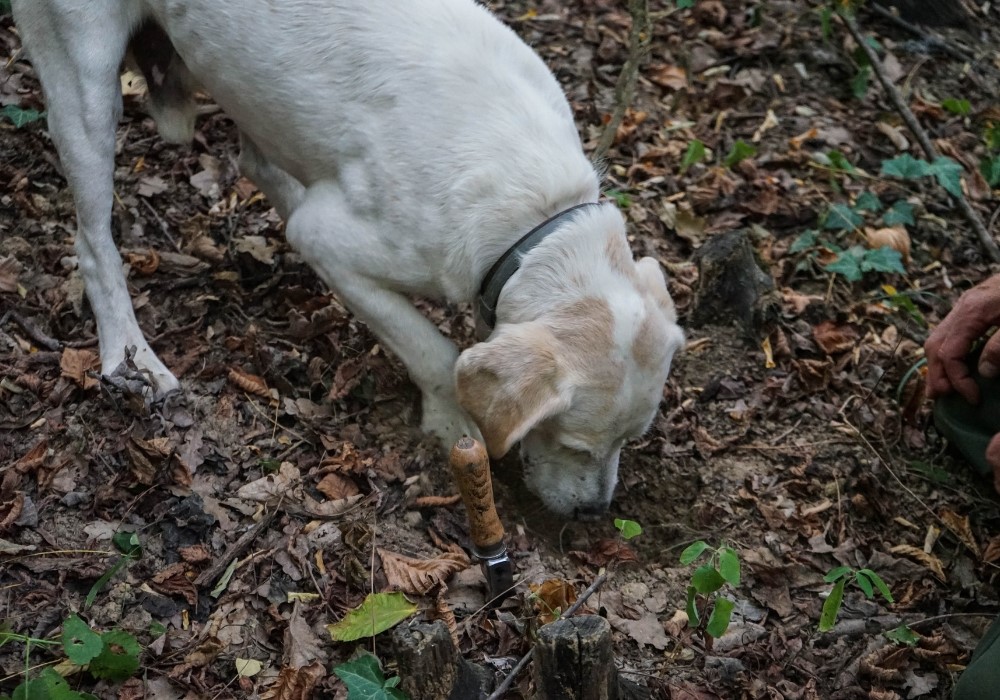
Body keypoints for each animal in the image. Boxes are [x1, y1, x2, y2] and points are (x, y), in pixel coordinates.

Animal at [12, 0, 684, 518]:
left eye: (630, 440)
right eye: (573, 442)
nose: (595, 512)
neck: (535, 212)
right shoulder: (334, 240)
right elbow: (435, 352)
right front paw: (452, 422)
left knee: (258, 163)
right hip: (85, 84)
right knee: (93, 243)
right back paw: (132, 357)